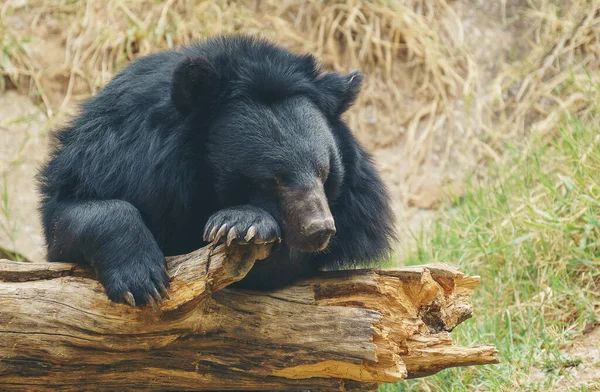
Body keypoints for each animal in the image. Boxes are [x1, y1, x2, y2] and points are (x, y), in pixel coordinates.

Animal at [36, 35, 394, 308]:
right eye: (272, 180)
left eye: (324, 172)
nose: (319, 230)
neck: (199, 176)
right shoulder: (111, 159)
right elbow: (70, 215)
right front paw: (142, 283)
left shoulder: (352, 210)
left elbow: (279, 266)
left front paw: (240, 224)